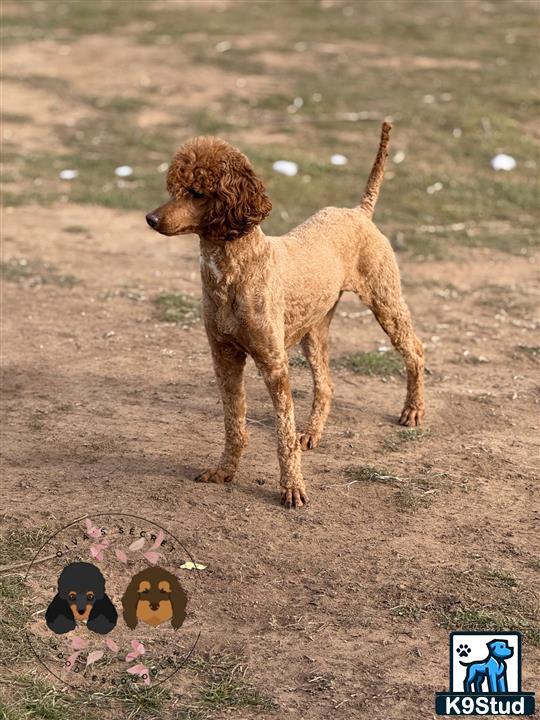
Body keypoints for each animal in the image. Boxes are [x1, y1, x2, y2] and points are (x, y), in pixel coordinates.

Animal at [146, 124, 424, 506]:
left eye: (197, 192)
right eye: (173, 188)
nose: (150, 218)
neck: (234, 270)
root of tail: (359, 211)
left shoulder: (274, 364)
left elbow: (283, 435)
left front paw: (292, 487)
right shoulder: (224, 356)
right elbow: (234, 423)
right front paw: (225, 470)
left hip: (385, 300)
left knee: (415, 351)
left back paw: (413, 410)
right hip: (314, 329)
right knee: (326, 384)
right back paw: (312, 432)